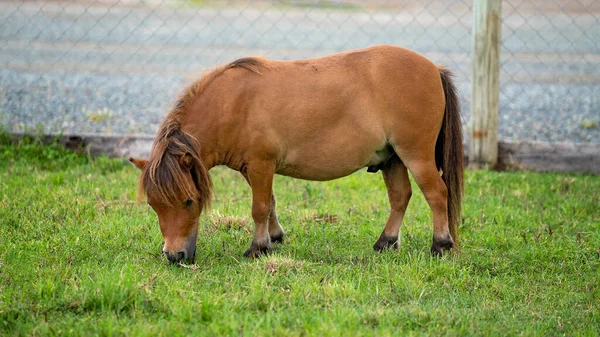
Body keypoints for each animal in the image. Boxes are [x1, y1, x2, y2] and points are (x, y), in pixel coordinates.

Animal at [130, 44, 464, 262]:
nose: (174, 255)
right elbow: (271, 204)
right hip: (392, 159)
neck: (232, 103)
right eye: (153, 205)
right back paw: (386, 242)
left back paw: (440, 245)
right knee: (400, 198)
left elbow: (259, 208)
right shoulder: (252, 168)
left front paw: (258, 248)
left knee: (437, 194)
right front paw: (274, 238)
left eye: (189, 201)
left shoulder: (261, 165)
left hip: (415, 156)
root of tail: (434, 69)